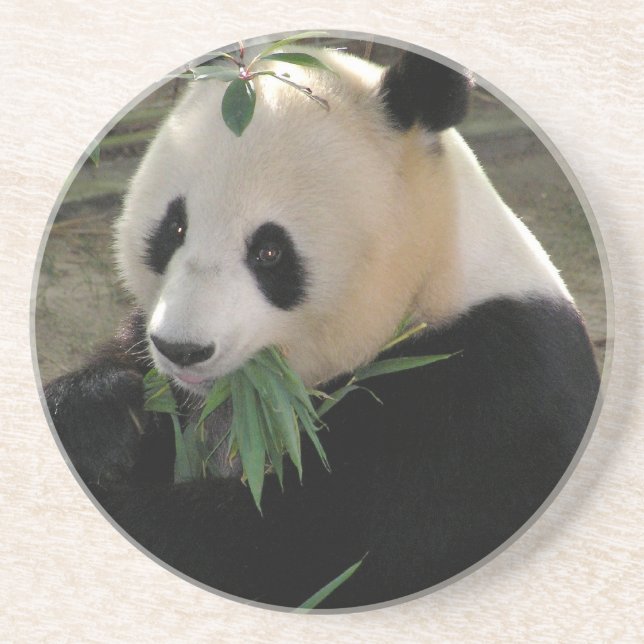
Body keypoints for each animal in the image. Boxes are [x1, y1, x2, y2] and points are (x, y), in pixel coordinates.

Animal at [43, 45, 600, 609]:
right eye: (174, 228)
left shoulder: (486, 394)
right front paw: (104, 415)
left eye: (269, 252)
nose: (182, 349)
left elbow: (309, 550)